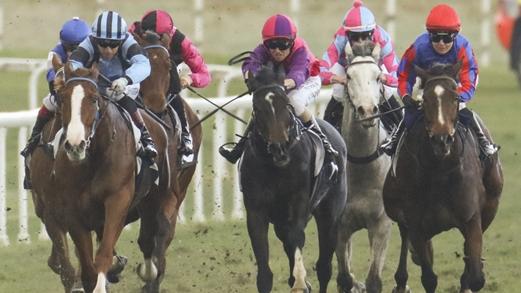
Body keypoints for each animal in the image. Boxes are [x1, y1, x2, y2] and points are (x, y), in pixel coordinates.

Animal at [129, 28, 202, 290]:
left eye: (168, 64)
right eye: (141, 63)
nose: (156, 103)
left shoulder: (166, 191)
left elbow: (160, 229)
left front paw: (153, 276)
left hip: (182, 183)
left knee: (165, 230)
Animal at [242, 66, 348, 292]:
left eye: (287, 105)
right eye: (257, 108)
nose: (279, 148)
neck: (275, 167)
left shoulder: (298, 201)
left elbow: (296, 236)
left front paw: (300, 281)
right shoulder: (256, 211)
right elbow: (264, 272)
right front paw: (297, 280)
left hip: (330, 212)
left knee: (324, 266)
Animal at [384, 62, 502, 290]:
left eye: (455, 98)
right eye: (426, 99)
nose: (442, 140)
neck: (439, 169)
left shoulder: (472, 218)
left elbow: (475, 277)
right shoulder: (416, 223)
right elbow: (429, 278)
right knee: (404, 237)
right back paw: (401, 281)